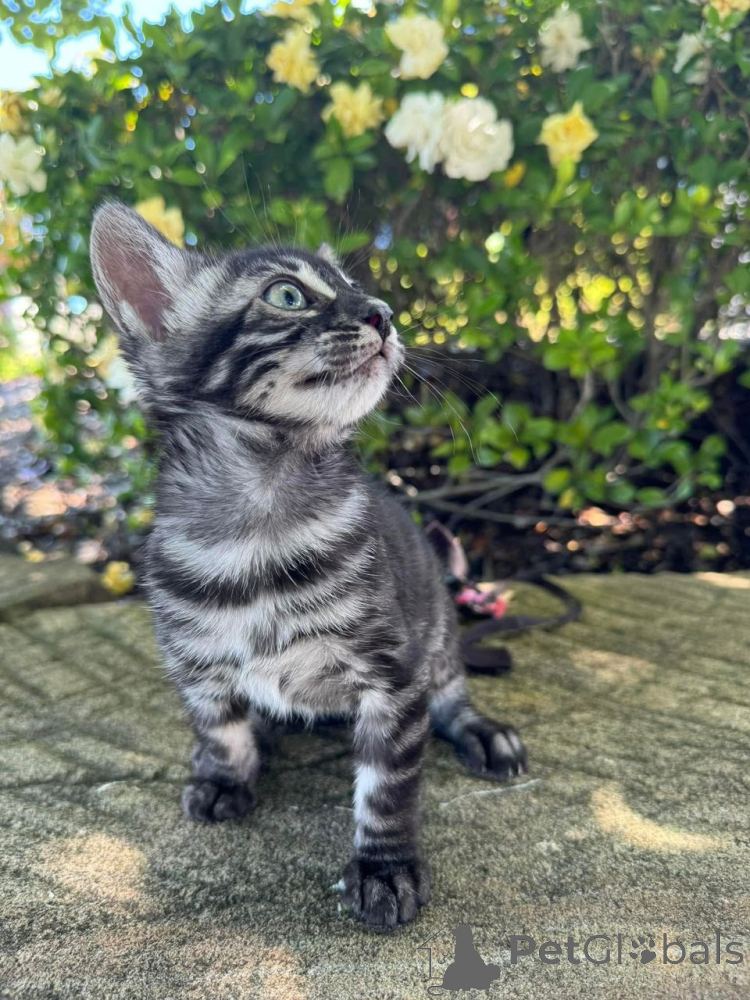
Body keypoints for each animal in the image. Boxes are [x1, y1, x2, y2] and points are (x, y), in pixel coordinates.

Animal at [89, 201, 526, 930]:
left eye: (357, 288)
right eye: (287, 295)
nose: (383, 313)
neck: (260, 526)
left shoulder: (393, 675)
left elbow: (386, 787)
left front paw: (384, 866)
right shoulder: (193, 662)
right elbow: (221, 728)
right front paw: (224, 774)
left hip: (437, 637)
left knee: (451, 696)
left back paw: (482, 733)